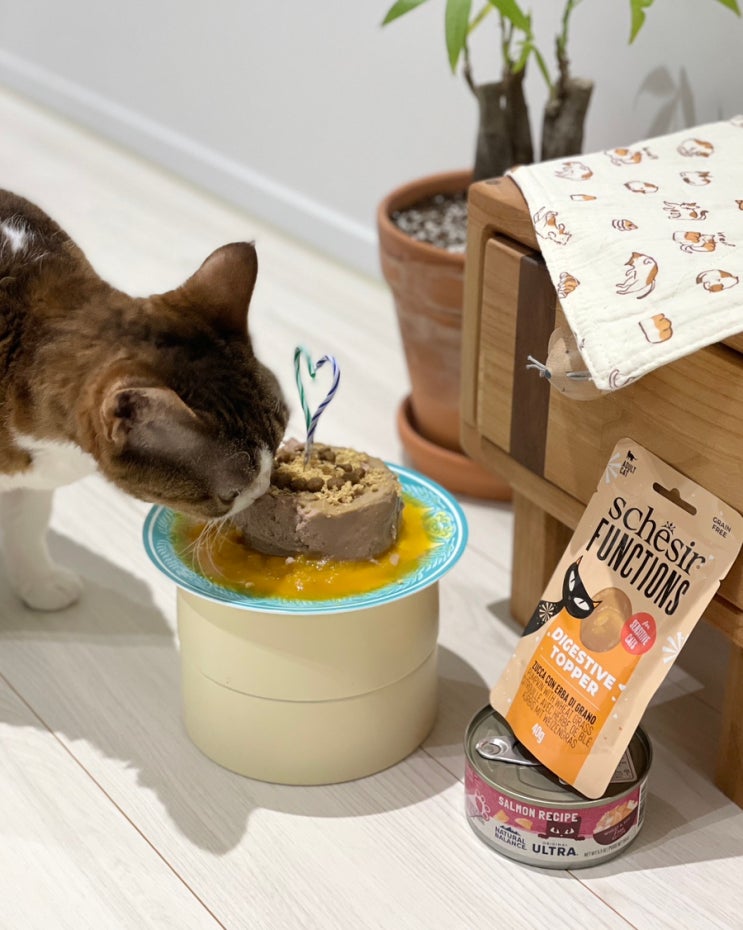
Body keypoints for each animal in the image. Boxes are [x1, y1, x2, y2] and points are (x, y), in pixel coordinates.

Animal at [0, 190, 288, 610]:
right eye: (229, 495)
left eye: (280, 440)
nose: (266, 487)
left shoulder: (34, 478)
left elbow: (28, 522)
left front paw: (41, 583)